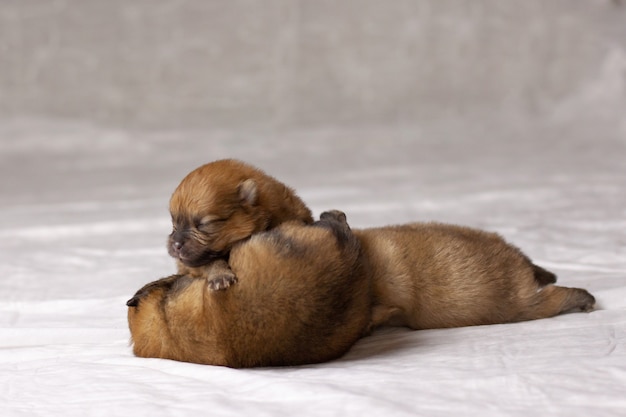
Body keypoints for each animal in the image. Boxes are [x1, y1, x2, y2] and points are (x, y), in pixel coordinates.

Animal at [166, 158, 312, 290]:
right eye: (174, 224)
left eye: (203, 224)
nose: (176, 245)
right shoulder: (191, 264)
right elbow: (209, 262)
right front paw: (220, 275)